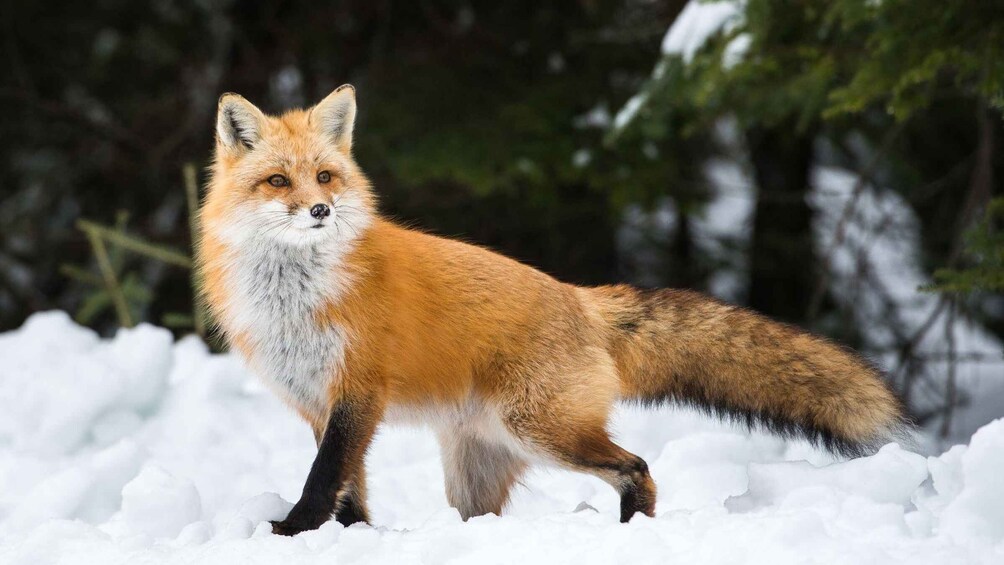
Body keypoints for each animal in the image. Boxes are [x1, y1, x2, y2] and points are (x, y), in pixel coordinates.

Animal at [198, 85, 914, 535]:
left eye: (324, 177)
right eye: (278, 181)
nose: (320, 209)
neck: (297, 297)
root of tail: (579, 298)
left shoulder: (358, 393)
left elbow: (324, 480)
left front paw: (293, 532)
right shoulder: (319, 403)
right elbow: (348, 490)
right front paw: (350, 539)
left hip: (542, 430)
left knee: (637, 469)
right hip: (477, 467)